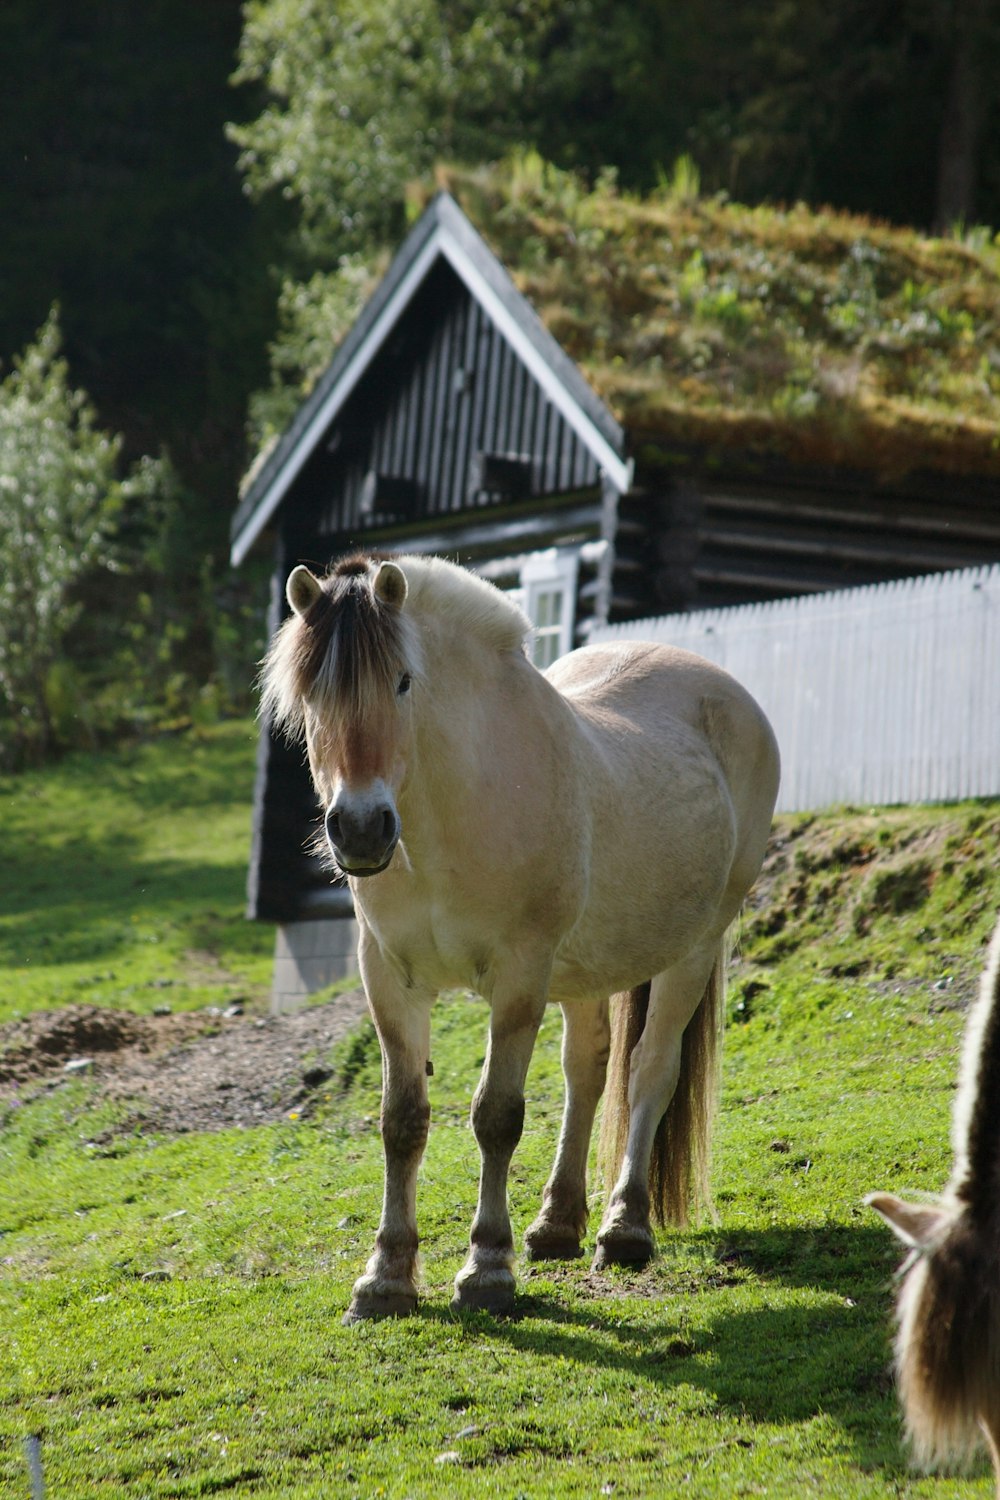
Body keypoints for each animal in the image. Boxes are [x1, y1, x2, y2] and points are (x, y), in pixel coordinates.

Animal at [263, 555, 779, 1326]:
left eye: (404, 682)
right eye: (310, 696)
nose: (359, 829)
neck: (452, 813)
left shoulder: (518, 977)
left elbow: (496, 1117)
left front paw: (486, 1270)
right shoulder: (390, 981)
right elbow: (402, 1120)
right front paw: (385, 1279)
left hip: (693, 949)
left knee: (650, 1069)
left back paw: (624, 1229)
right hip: (587, 972)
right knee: (587, 1070)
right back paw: (558, 1224)